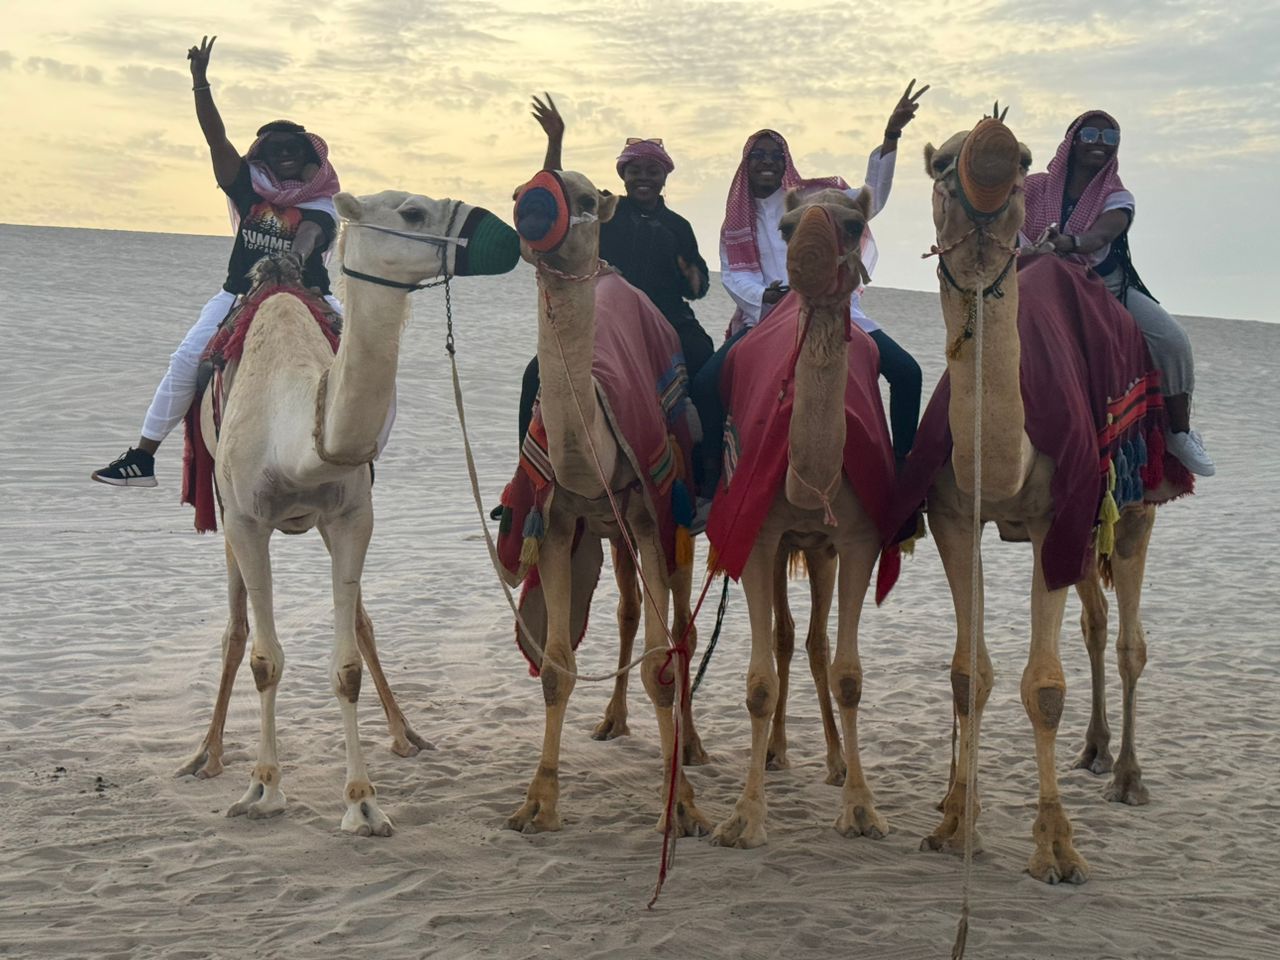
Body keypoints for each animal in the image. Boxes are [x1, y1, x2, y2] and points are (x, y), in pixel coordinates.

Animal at [179, 191, 513, 835]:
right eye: (412, 213)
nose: (509, 233)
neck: (294, 434)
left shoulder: (353, 518)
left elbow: (348, 664)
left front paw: (362, 802)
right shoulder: (247, 521)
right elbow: (264, 659)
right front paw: (263, 789)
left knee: (360, 624)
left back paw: (406, 734)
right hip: (225, 513)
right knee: (235, 631)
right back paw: (206, 755)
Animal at [505, 168, 707, 837]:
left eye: (587, 200)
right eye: (519, 190)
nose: (533, 209)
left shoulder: (648, 516)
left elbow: (659, 665)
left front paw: (684, 805)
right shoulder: (558, 519)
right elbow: (556, 666)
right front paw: (538, 801)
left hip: (675, 526)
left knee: (681, 626)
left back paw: (692, 746)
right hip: (610, 536)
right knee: (625, 611)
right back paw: (613, 720)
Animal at [711, 187, 895, 848]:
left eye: (854, 223)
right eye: (787, 226)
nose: (804, 261)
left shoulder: (859, 541)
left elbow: (848, 675)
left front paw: (861, 807)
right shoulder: (758, 537)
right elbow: (759, 683)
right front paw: (744, 816)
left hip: (820, 549)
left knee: (813, 643)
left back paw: (835, 760)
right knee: (790, 639)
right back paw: (775, 752)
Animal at [917, 117, 1174, 883]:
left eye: (1026, 156)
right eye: (938, 163)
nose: (990, 150)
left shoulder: (1056, 516)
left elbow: (1044, 688)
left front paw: (1057, 846)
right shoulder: (953, 516)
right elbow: (968, 674)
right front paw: (953, 821)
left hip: (1134, 508)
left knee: (1128, 641)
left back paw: (1127, 776)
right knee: (1095, 621)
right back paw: (1094, 751)